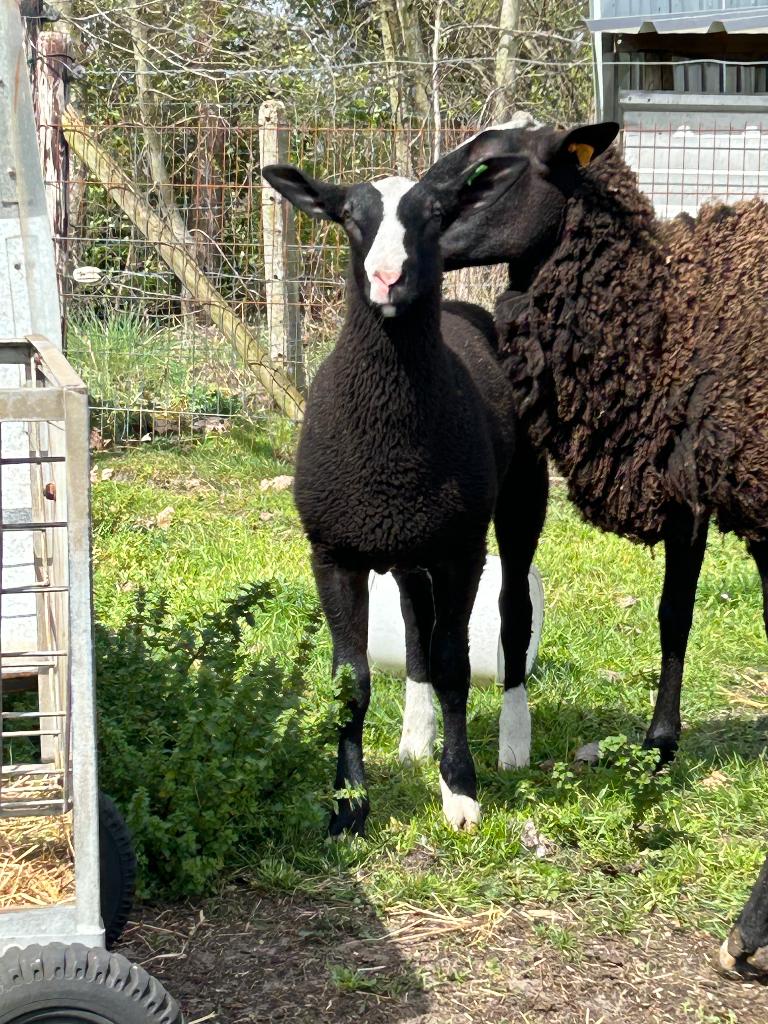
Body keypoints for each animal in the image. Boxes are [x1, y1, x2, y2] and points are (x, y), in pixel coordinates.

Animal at [260, 158, 548, 836]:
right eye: (347, 217)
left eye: (435, 216)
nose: (387, 278)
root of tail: (472, 311)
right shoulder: (334, 552)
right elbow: (352, 680)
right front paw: (348, 806)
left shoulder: (461, 552)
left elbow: (454, 666)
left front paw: (461, 791)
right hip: (412, 539)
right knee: (417, 621)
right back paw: (416, 739)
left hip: (520, 500)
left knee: (514, 612)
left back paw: (513, 742)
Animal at [421, 119, 768, 975]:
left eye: (489, 168)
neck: (671, 319)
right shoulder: (685, 484)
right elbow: (674, 615)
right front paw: (660, 745)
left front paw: (749, 931)